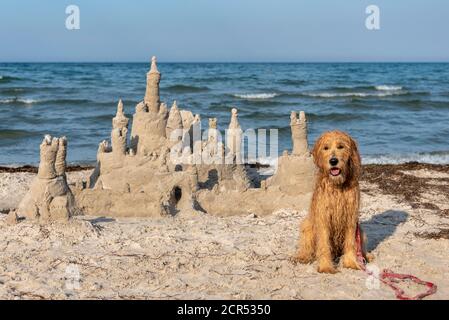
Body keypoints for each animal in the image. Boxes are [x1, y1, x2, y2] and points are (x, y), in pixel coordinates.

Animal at [290, 130, 372, 272]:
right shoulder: (323, 216)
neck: (337, 185)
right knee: (307, 246)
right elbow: (323, 243)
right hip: (308, 225)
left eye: (341, 146)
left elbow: (351, 242)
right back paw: (302, 256)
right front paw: (325, 266)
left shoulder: (350, 217)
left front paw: (351, 262)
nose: (333, 161)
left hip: (360, 231)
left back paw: (366, 256)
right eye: (326, 148)